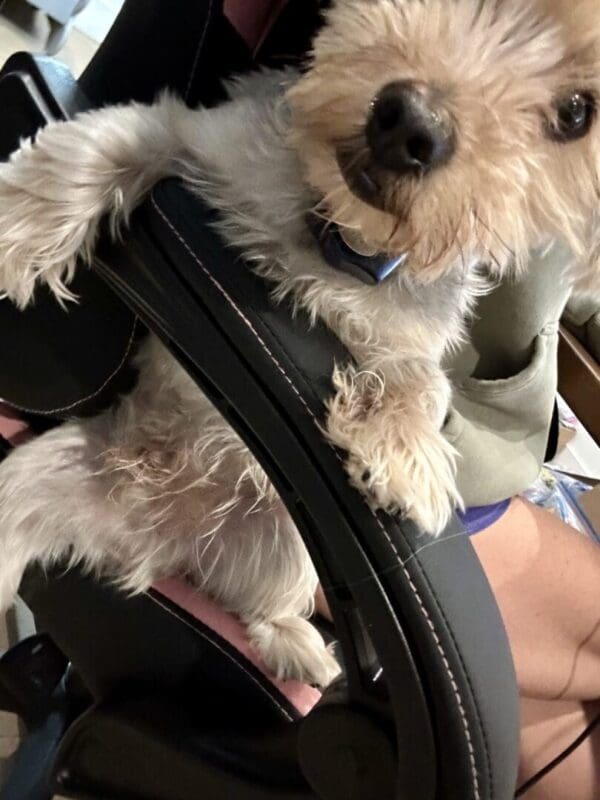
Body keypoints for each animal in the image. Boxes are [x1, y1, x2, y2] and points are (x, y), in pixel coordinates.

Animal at [1, 1, 600, 688]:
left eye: (575, 113)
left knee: (265, 608)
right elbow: (105, 146)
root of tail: (161, 545)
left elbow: (423, 381)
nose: (411, 123)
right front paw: (18, 228)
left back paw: (300, 646)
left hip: (291, 550)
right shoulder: (195, 137)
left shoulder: (407, 335)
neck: (339, 236)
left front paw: (408, 459)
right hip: (34, 481)